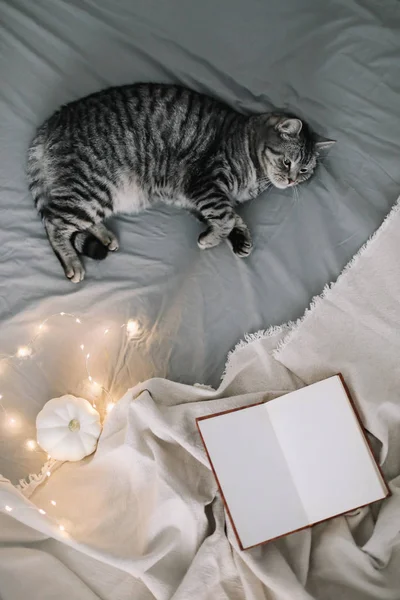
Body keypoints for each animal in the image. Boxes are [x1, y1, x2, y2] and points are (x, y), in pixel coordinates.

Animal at [27, 81, 334, 284]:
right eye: (287, 162)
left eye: (304, 169)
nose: (292, 180)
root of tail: (51, 123)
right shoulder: (206, 184)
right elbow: (225, 218)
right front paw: (212, 239)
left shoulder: (195, 197)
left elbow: (232, 216)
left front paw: (240, 238)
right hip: (93, 188)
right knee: (54, 222)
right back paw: (72, 263)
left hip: (101, 196)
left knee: (78, 220)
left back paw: (104, 236)